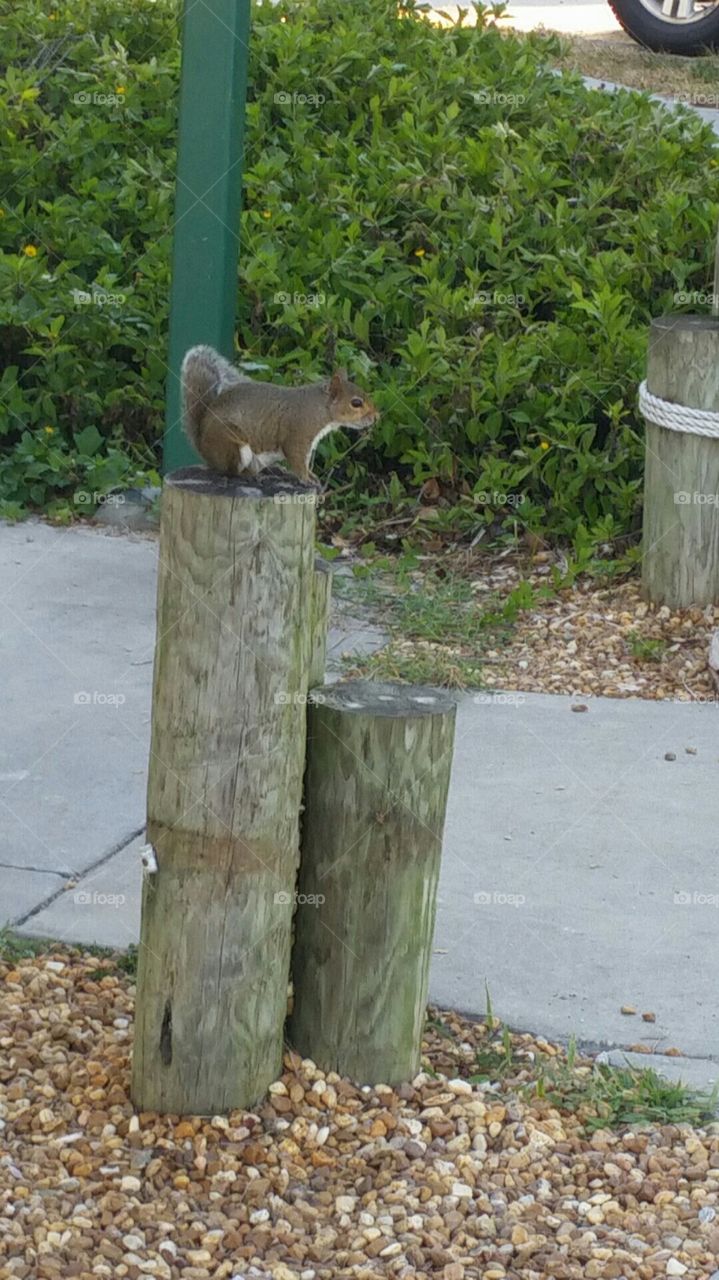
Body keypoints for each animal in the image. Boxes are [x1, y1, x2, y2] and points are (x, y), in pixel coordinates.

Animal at [181, 345, 379, 485]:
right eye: (356, 403)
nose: (376, 416)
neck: (319, 408)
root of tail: (202, 447)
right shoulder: (298, 435)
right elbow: (297, 460)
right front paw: (306, 479)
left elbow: (306, 462)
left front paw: (312, 475)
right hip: (231, 444)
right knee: (230, 471)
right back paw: (248, 476)